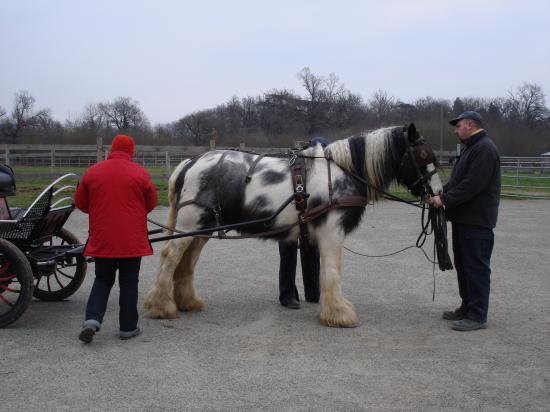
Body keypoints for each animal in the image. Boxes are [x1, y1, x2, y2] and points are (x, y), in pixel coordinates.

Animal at [143, 123, 444, 328]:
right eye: (423, 155)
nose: (438, 193)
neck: (342, 171)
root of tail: (190, 162)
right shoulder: (332, 232)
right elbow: (332, 271)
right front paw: (339, 314)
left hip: (202, 229)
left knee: (188, 261)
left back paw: (187, 302)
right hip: (188, 225)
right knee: (170, 256)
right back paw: (161, 306)